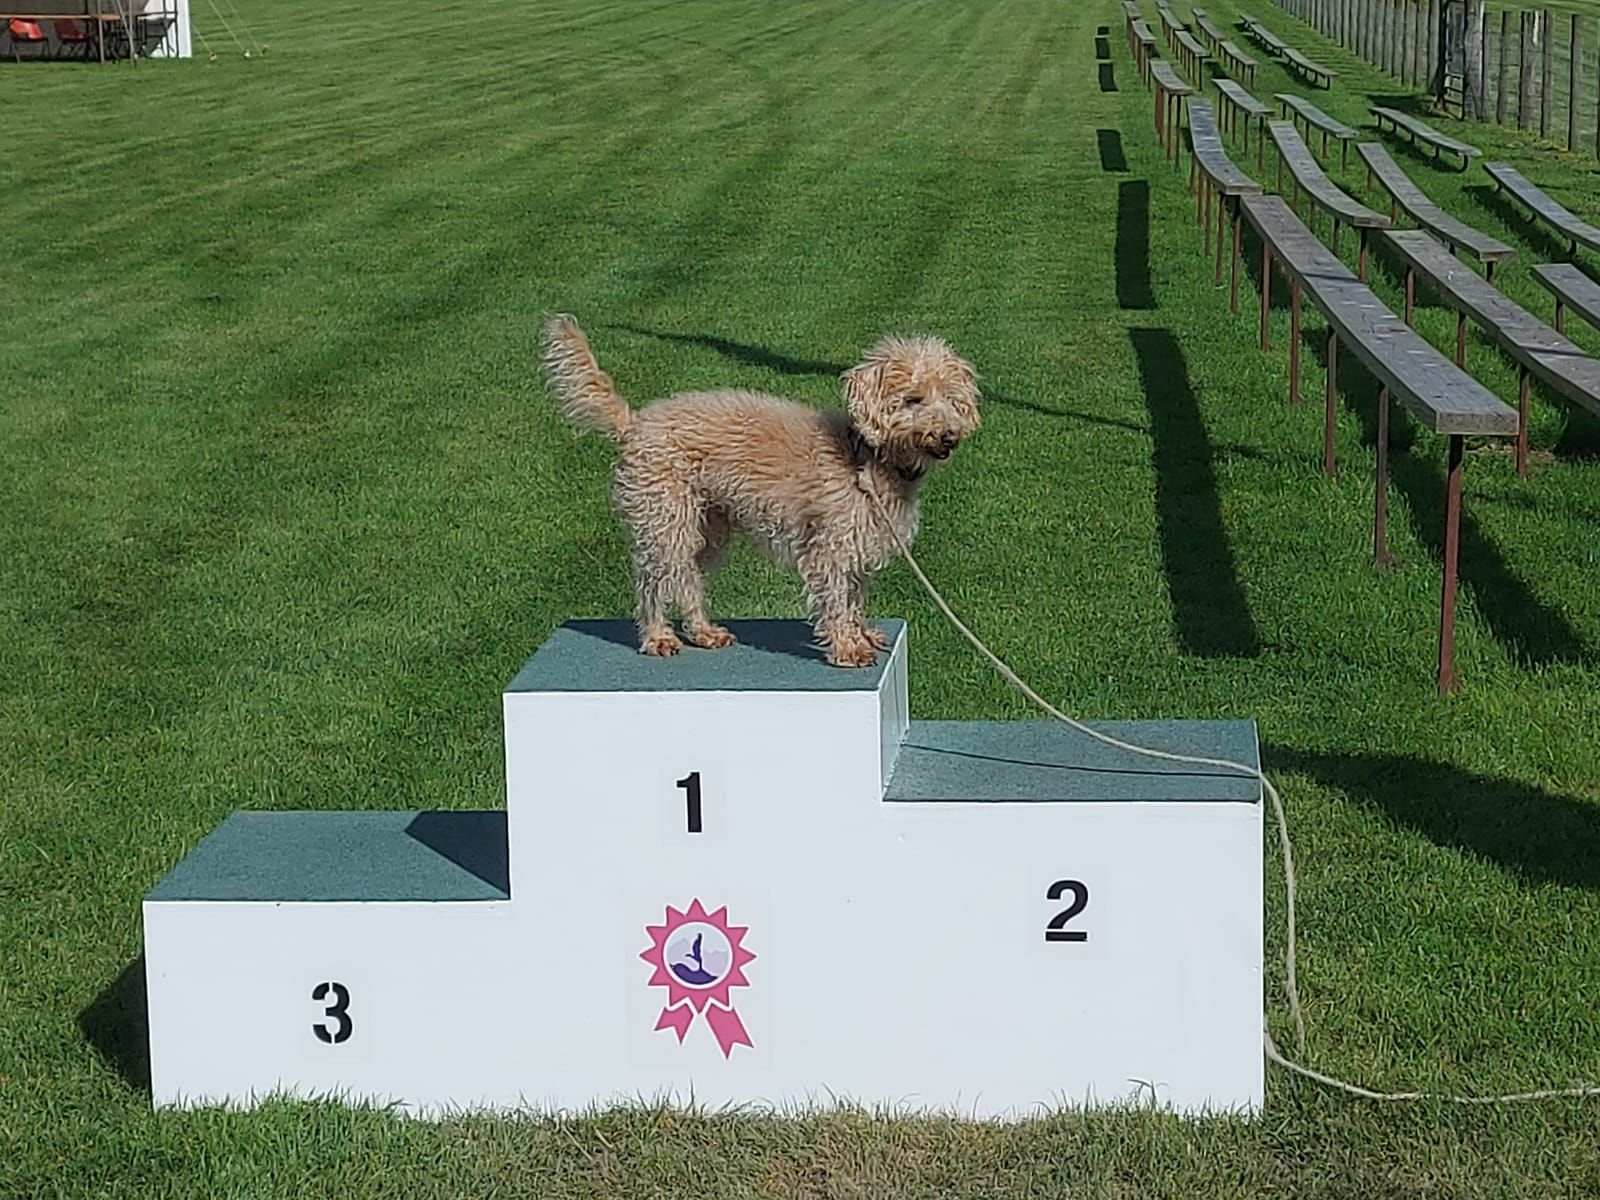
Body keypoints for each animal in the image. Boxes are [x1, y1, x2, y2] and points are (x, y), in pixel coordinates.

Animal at [544, 316, 979, 668]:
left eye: (951, 399)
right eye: (913, 399)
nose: (948, 436)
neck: (865, 459)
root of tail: (633, 424)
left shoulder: (861, 547)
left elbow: (854, 598)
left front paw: (861, 635)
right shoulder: (831, 548)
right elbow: (837, 601)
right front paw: (847, 647)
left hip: (708, 530)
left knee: (688, 580)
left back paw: (704, 632)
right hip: (665, 522)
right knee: (652, 583)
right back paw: (658, 638)